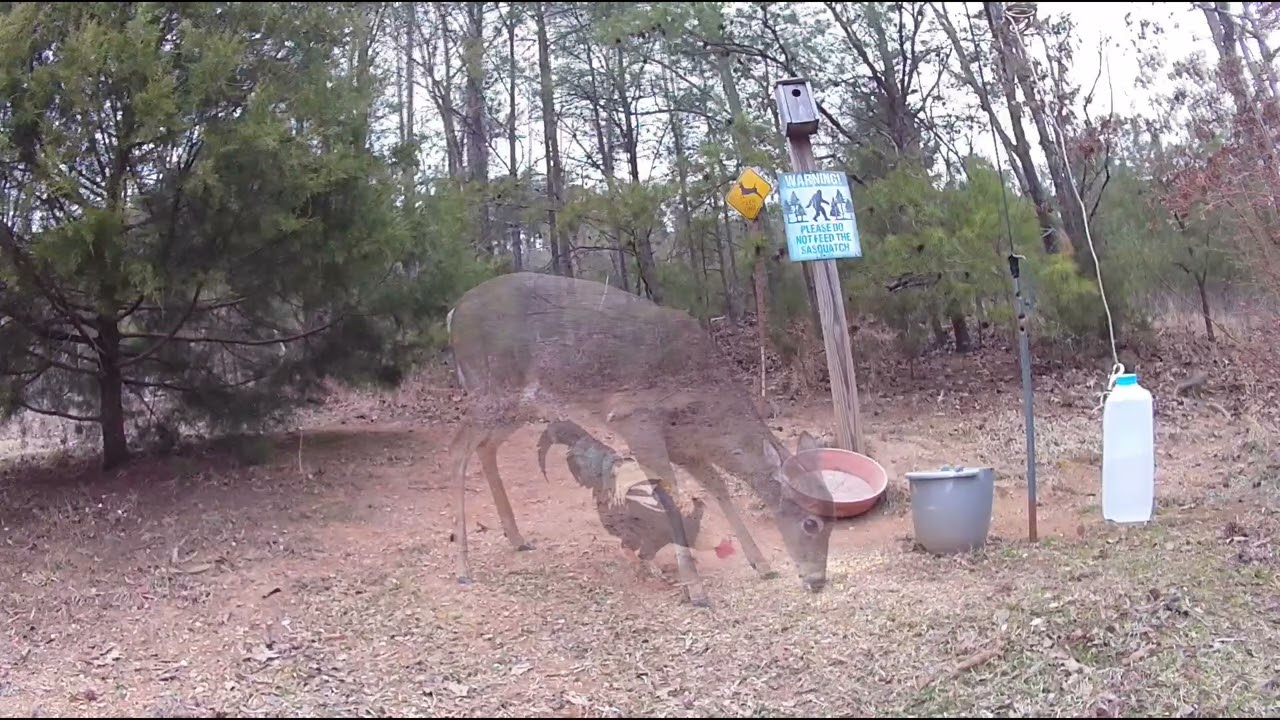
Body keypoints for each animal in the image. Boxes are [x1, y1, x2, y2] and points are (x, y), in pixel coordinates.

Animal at [444, 271, 835, 608]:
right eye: (810, 522)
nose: (817, 581)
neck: (704, 405)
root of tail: (452, 313)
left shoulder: (683, 444)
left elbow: (718, 487)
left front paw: (762, 565)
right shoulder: (636, 419)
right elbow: (671, 496)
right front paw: (696, 590)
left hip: (518, 406)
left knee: (486, 448)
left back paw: (517, 539)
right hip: (491, 388)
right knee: (459, 449)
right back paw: (463, 568)